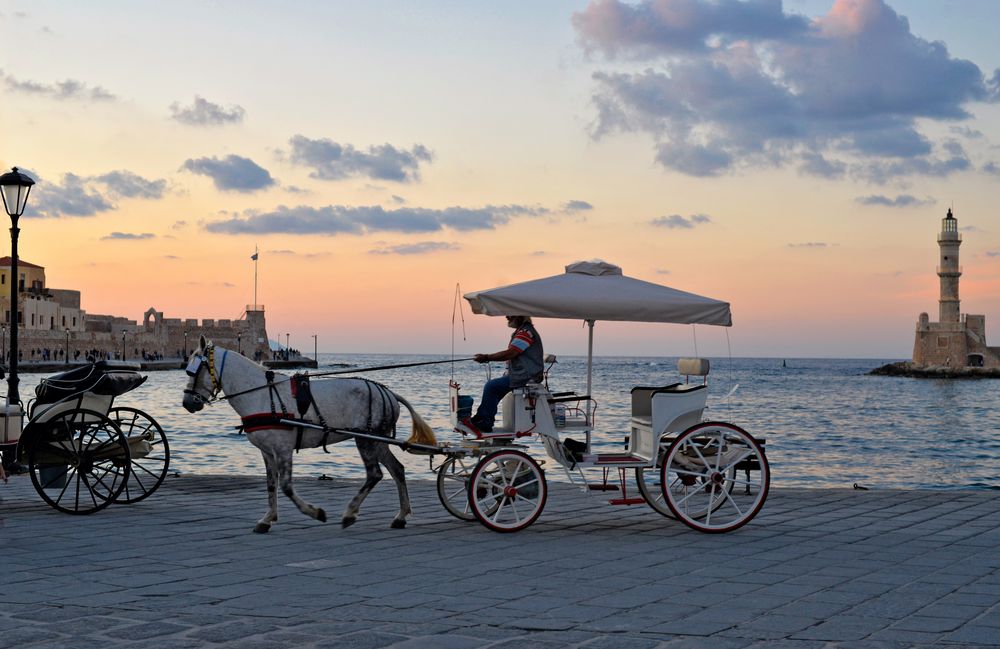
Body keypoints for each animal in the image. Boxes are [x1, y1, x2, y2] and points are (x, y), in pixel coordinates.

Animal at [182, 340, 436, 532]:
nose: (187, 403)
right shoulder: (267, 451)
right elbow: (271, 484)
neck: (262, 394)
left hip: (364, 438)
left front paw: (315, 512)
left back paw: (350, 513)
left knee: (375, 474)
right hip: (377, 440)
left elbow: (286, 486)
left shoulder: (283, 449)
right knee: (397, 470)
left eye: (192, 371)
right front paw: (268, 518)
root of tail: (389, 392)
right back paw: (400, 516)